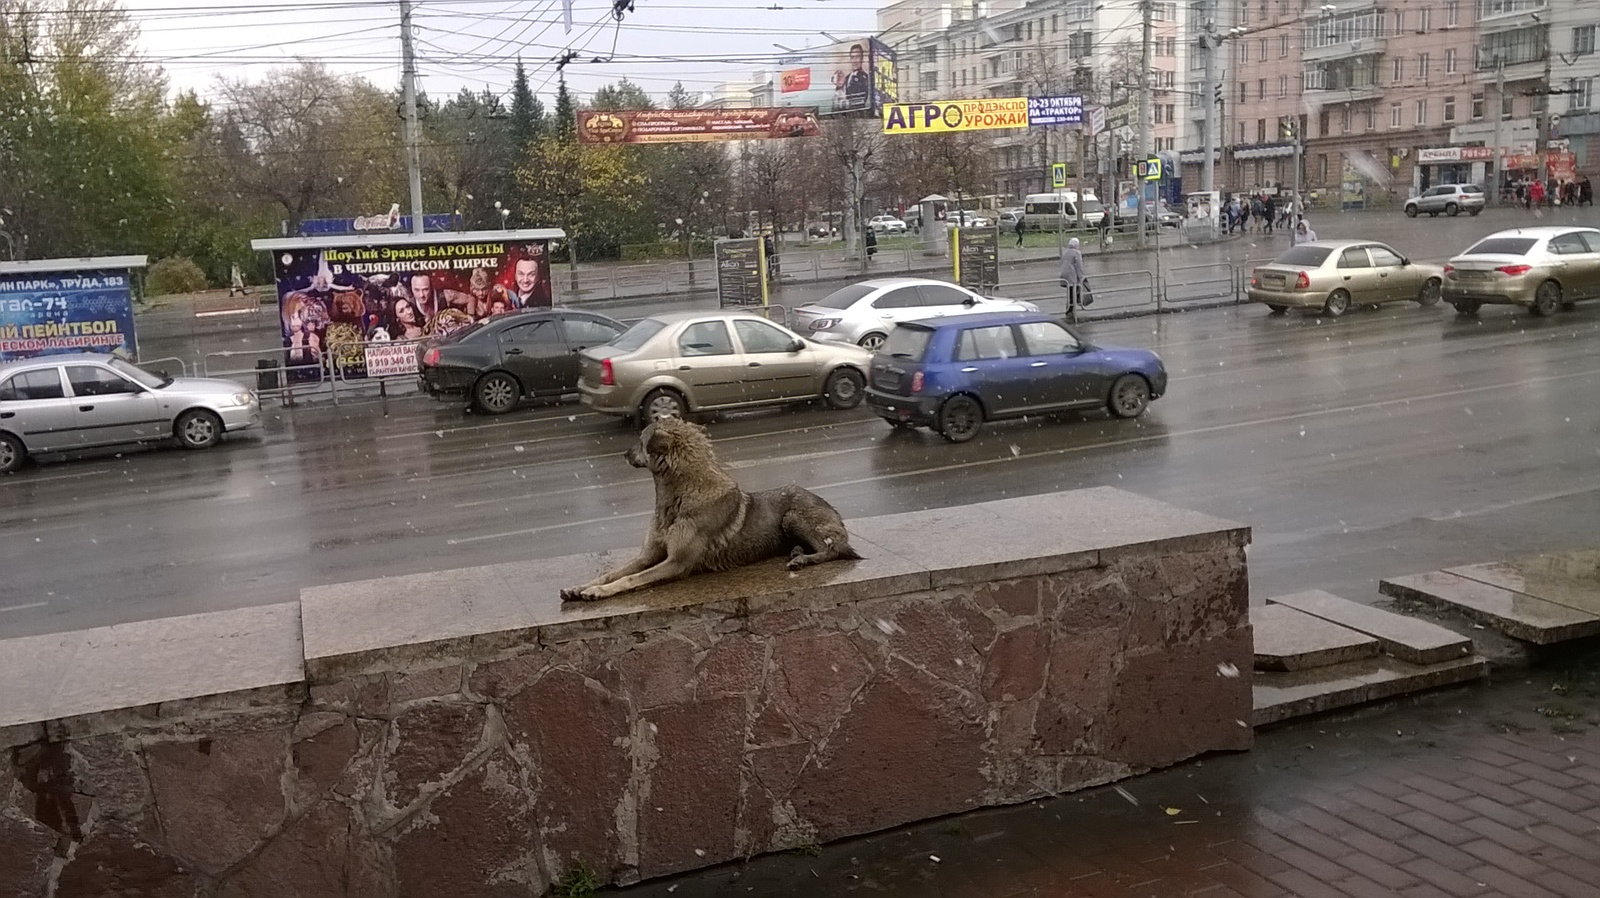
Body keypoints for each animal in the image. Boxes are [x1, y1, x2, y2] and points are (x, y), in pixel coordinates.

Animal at [563, 416, 864, 598]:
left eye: (640, 439)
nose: (623, 454)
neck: (677, 497)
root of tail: (836, 515)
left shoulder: (676, 563)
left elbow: (631, 579)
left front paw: (599, 592)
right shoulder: (649, 554)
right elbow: (613, 572)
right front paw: (582, 587)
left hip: (792, 516)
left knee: (831, 550)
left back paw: (805, 558)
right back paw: (797, 552)